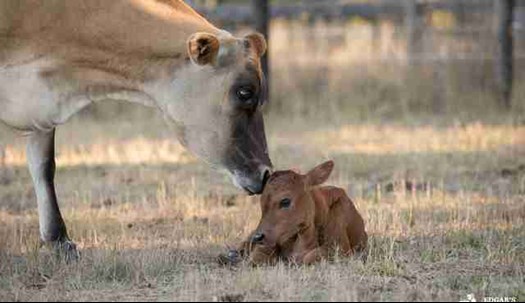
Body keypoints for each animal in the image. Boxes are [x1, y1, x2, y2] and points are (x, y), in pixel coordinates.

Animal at [223, 162, 366, 266]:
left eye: (285, 201)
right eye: (261, 202)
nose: (258, 236)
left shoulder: (341, 248)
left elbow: (311, 256)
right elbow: (257, 257)